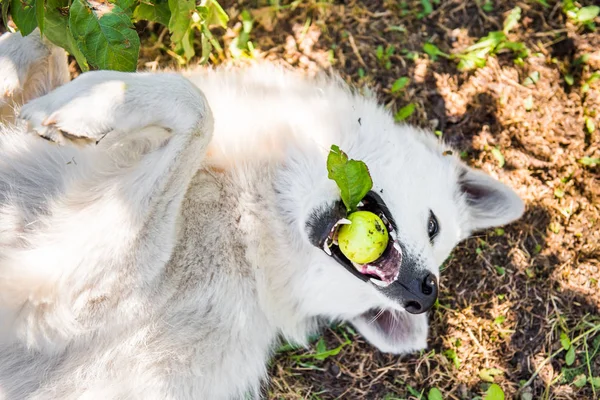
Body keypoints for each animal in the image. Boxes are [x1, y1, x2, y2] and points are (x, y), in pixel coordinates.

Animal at [0, 31, 524, 400]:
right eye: (434, 226)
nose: (423, 294)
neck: (249, 214)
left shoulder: (63, 285)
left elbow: (196, 105)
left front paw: (87, 105)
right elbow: (36, 38)